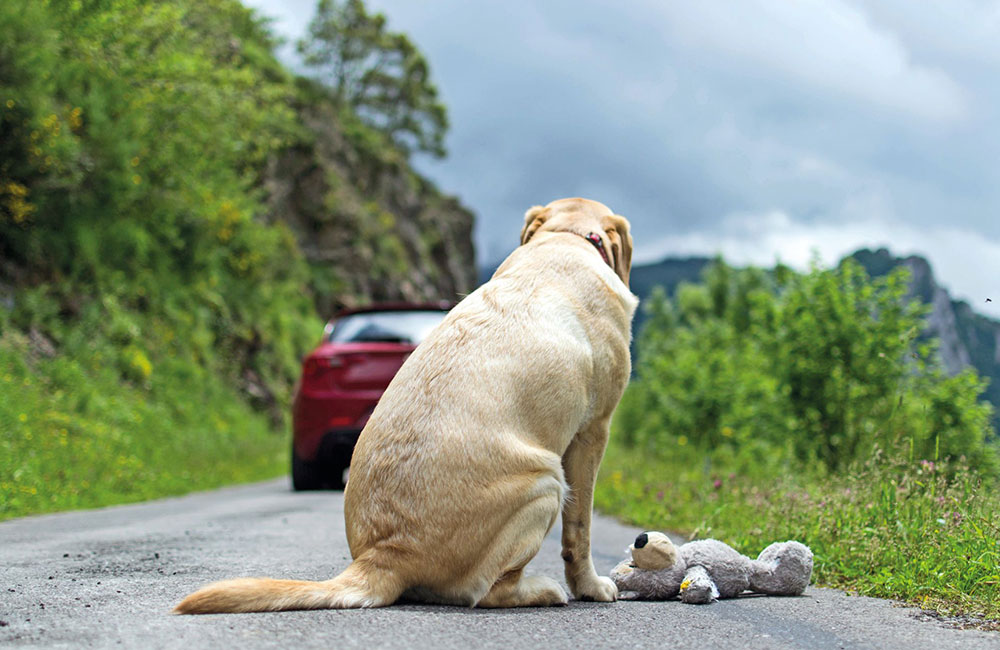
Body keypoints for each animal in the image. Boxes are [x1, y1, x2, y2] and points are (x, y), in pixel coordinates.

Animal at [175, 195, 636, 612]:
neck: (564, 237)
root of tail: (385, 555)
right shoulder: (594, 430)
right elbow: (580, 529)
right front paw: (591, 587)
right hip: (546, 481)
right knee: (486, 592)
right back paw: (542, 590)